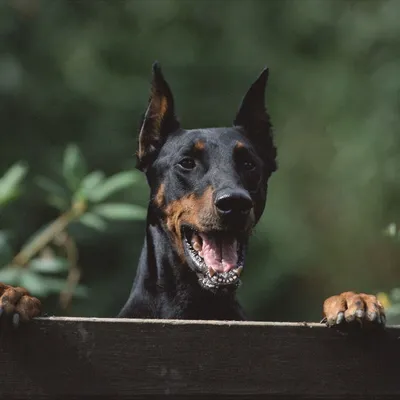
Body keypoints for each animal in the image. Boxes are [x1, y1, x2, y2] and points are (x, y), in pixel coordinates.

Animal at [0, 63, 384, 328]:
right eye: (186, 162)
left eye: (249, 163)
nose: (234, 203)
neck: (192, 305)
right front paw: (16, 296)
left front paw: (351, 300)